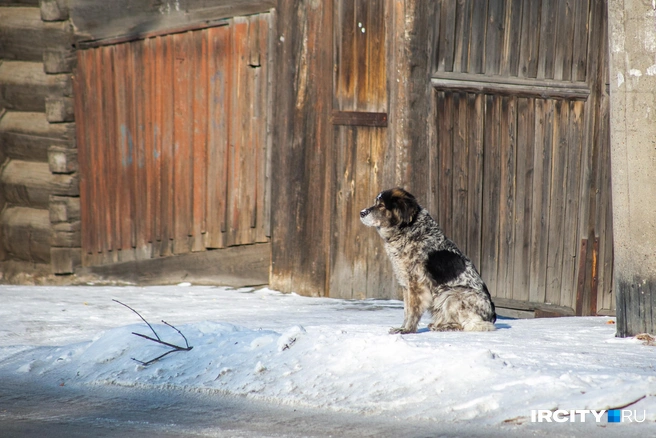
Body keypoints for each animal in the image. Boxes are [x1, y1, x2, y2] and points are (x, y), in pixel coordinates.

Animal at [358, 186, 498, 334]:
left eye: (381, 205)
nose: (361, 213)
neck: (408, 229)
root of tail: (491, 316)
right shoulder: (406, 284)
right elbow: (406, 311)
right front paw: (402, 327)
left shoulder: (416, 284)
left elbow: (412, 310)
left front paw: (407, 330)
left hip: (451, 294)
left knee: (469, 325)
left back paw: (444, 327)